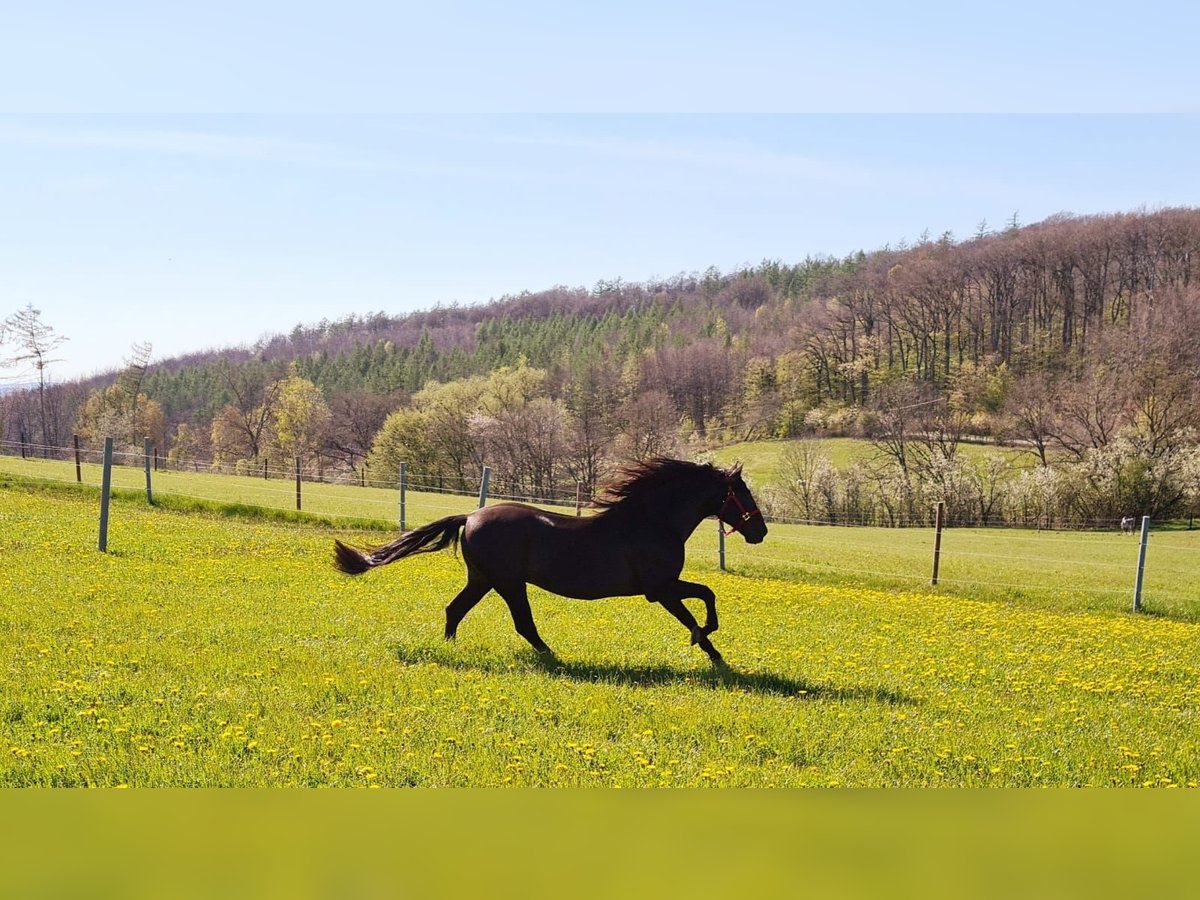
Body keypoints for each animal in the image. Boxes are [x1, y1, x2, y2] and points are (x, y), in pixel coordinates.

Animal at [336, 460, 768, 667]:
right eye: (743, 492)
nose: (760, 531)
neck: (652, 520)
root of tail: (470, 517)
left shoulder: (664, 588)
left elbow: (705, 598)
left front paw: (711, 650)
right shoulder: (659, 589)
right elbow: (702, 604)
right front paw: (710, 651)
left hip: (483, 579)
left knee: (455, 609)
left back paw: (452, 649)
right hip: (508, 583)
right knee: (522, 624)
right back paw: (552, 656)